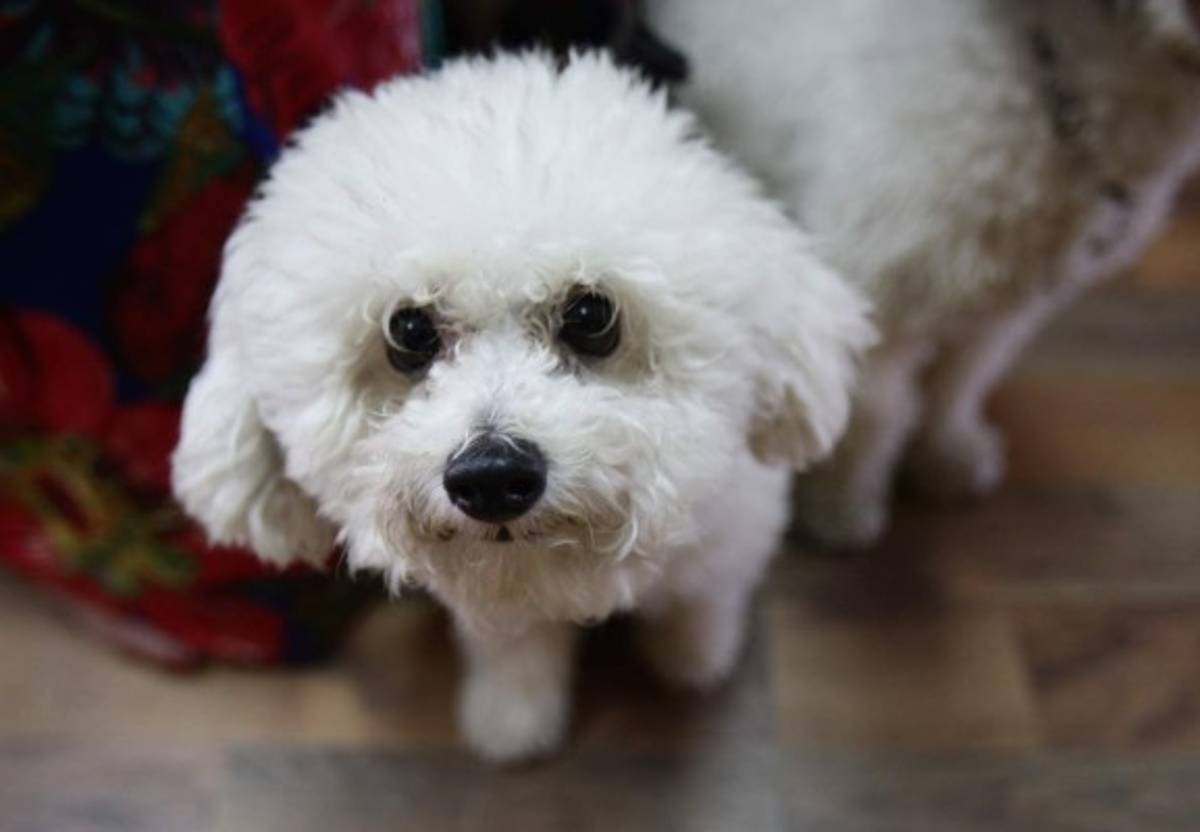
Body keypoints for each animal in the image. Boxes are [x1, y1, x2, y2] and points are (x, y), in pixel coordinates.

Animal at [172, 53, 872, 761]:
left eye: (592, 315)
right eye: (408, 331)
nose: (491, 477)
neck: (549, 573)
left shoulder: (730, 536)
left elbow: (700, 600)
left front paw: (694, 656)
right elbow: (514, 653)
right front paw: (512, 719)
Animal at [651, 0, 1200, 547]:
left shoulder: (1008, 301)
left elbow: (961, 378)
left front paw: (945, 454)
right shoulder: (876, 285)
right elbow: (875, 414)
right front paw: (841, 503)